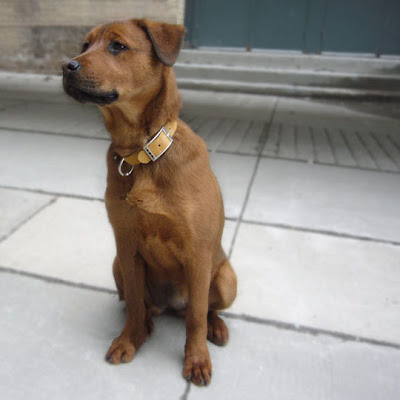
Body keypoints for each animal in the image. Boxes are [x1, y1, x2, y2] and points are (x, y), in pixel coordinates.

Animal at [62, 18, 236, 384]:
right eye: (84, 46)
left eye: (118, 46)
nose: (66, 66)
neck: (142, 155)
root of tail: (171, 305)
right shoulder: (127, 246)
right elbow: (134, 304)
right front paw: (131, 339)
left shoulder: (198, 255)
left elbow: (197, 316)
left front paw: (196, 359)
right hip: (116, 264)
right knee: (141, 304)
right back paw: (147, 324)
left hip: (226, 278)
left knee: (204, 309)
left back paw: (216, 327)